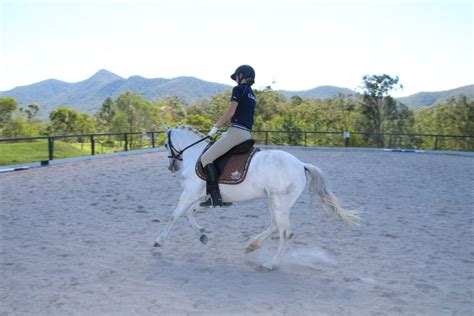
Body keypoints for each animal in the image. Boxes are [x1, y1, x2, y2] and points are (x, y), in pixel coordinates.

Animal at [155, 125, 360, 270]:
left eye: (165, 144)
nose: (171, 167)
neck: (195, 154)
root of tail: (301, 164)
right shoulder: (202, 196)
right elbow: (190, 212)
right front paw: (202, 235)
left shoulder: (188, 194)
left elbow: (175, 216)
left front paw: (159, 241)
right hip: (273, 201)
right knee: (275, 226)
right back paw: (252, 245)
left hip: (279, 203)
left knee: (285, 232)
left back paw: (272, 264)